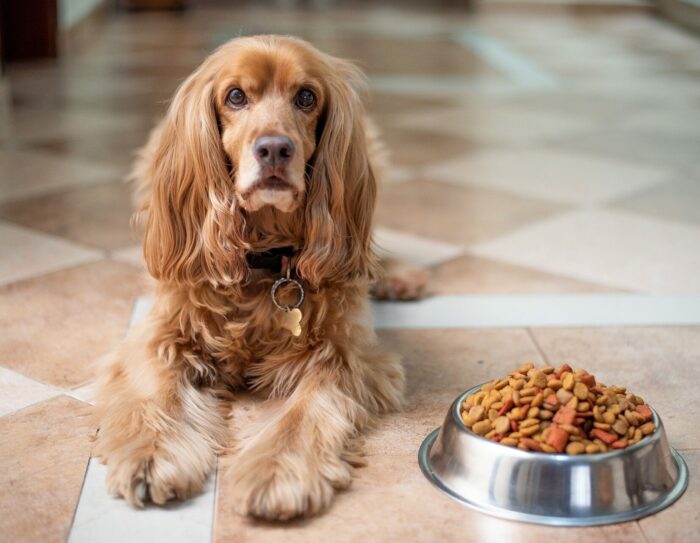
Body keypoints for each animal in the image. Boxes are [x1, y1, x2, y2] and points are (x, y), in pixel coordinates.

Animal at [93, 35, 422, 524]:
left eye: (306, 97)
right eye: (235, 96)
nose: (274, 150)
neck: (264, 259)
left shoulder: (346, 355)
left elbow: (304, 413)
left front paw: (277, 473)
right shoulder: (159, 335)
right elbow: (159, 393)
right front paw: (152, 455)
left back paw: (398, 276)